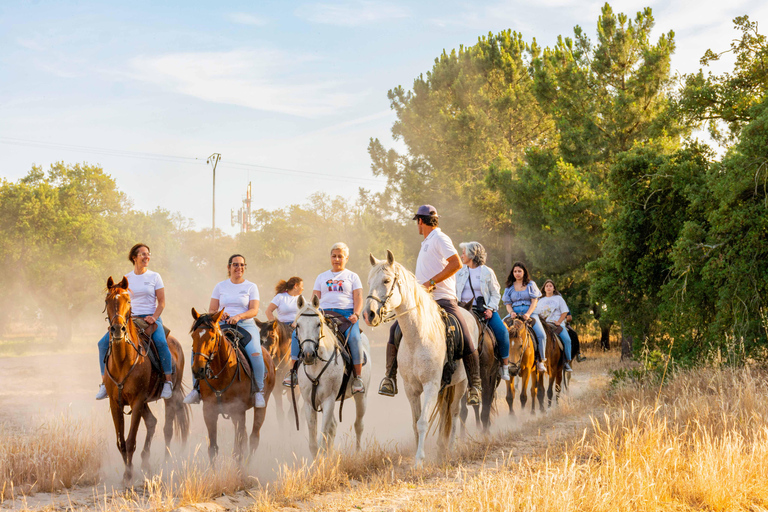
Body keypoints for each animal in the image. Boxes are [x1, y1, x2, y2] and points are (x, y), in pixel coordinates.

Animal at [102, 276, 190, 484]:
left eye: (128, 300)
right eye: (107, 301)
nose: (117, 329)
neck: (123, 361)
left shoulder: (137, 401)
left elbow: (131, 440)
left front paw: (128, 475)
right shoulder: (115, 403)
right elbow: (121, 442)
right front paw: (128, 472)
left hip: (171, 396)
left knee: (167, 428)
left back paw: (166, 462)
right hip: (144, 403)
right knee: (152, 422)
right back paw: (145, 462)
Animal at [189, 308, 276, 464]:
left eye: (212, 338)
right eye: (193, 336)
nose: (198, 370)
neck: (221, 376)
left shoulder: (239, 411)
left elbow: (239, 451)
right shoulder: (209, 411)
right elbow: (213, 449)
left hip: (261, 407)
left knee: (253, 439)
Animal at [292, 294, 370, 458]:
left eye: (318, 324)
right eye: (298, 325)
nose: (308, 354)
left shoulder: (328, 399)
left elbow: (323, 438)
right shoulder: (309, 402)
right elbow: (314, 443)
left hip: (361, 397)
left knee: (358, 425)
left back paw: (358, 453)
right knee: (333, 426)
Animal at [364, 250, 476, 466]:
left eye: (386, 280)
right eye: (369, 281)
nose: (369, 314)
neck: (418, 337)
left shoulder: (431, 385)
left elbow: (424, 422)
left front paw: (419, 461)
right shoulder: (412, 388)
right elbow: (416, 423)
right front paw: (418, 455)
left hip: (461, 384)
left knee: (455, 412)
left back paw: (451, 448)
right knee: (446, 412)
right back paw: (441, 448)